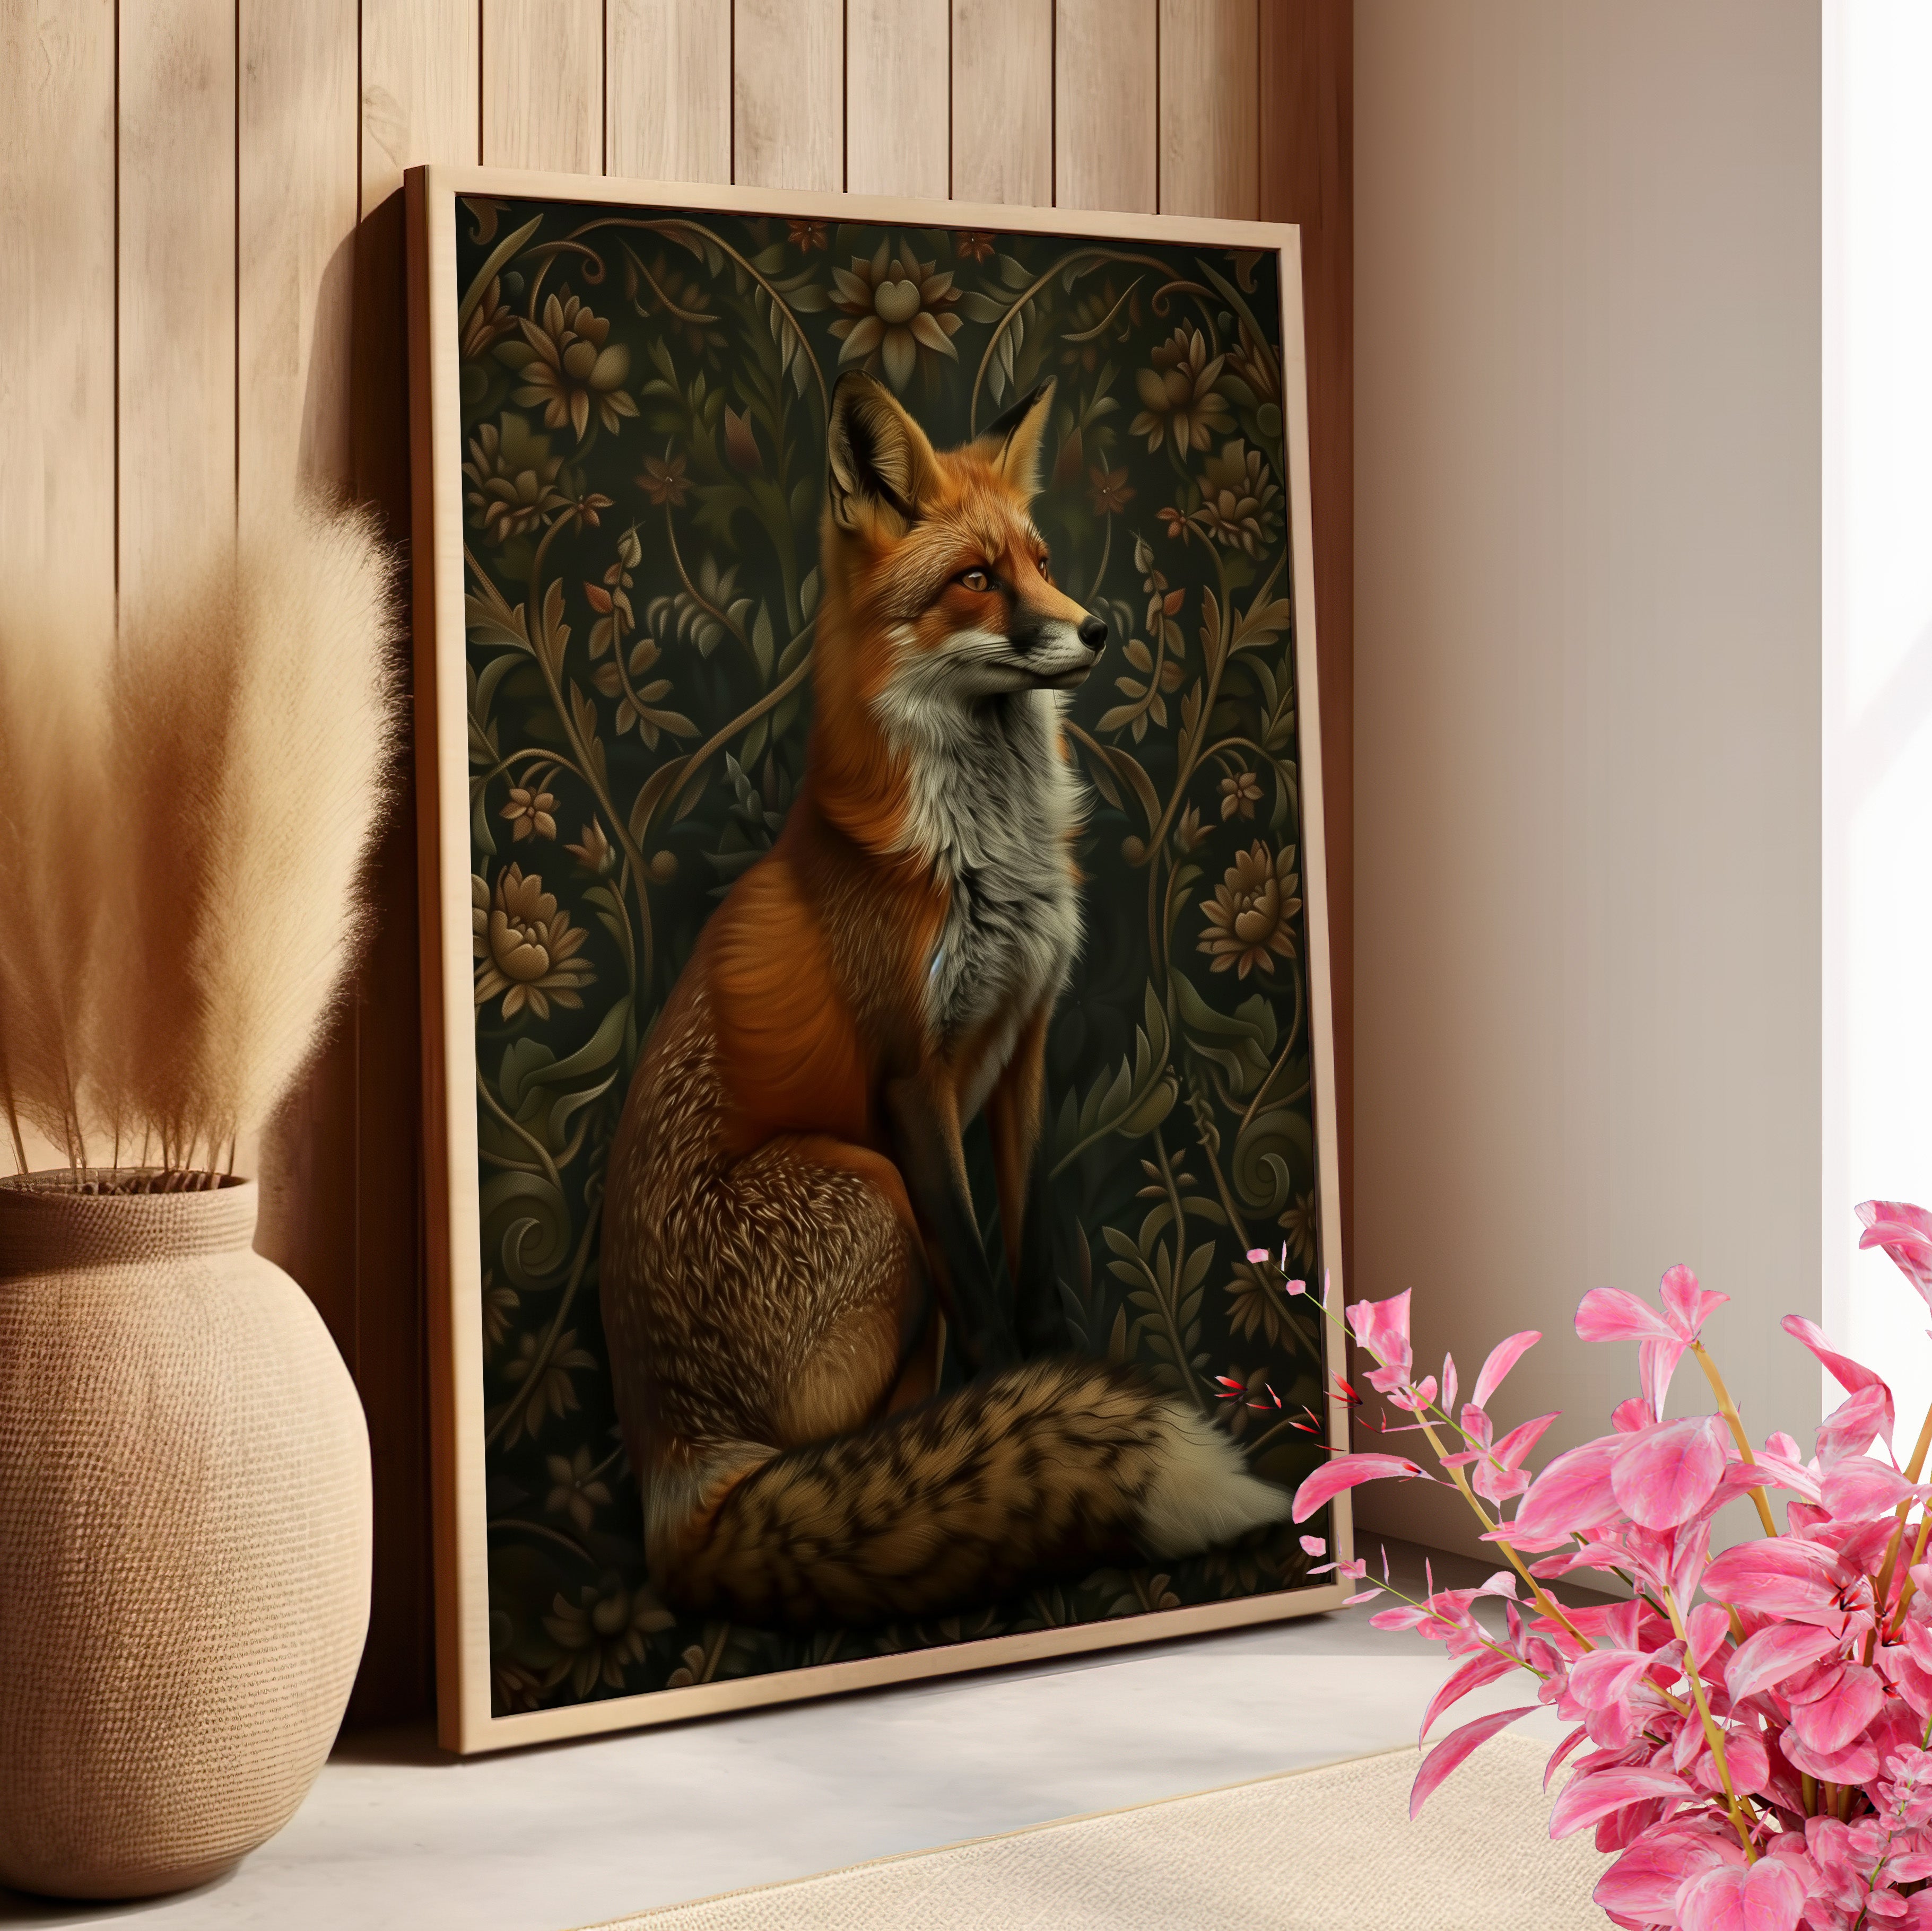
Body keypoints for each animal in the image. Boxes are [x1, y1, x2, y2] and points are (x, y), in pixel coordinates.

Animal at [599, 369, 1292, 1629]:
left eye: (1043, 557)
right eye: (976, 577)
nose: (1099, 628)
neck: (985, 859)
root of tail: (676, 1481)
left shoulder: (1025, 1044)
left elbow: (1024, 1244)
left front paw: (1050, 1372)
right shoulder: (910, 1079)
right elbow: (976, 1281)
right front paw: (1017, 1400)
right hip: (868, 1185)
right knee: (856, 1436)